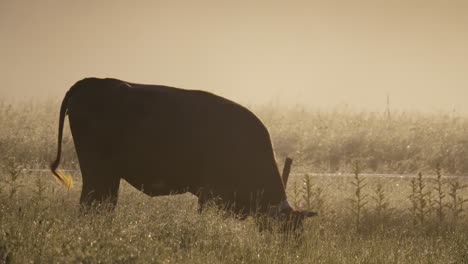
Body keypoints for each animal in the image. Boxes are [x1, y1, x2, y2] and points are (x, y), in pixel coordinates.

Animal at [49, 77, 316, 232]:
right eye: (288, 231)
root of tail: (91, 82)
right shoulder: (211, 195)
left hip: (107, 176)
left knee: (102, 204)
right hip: (98, 171)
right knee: (92, 204)